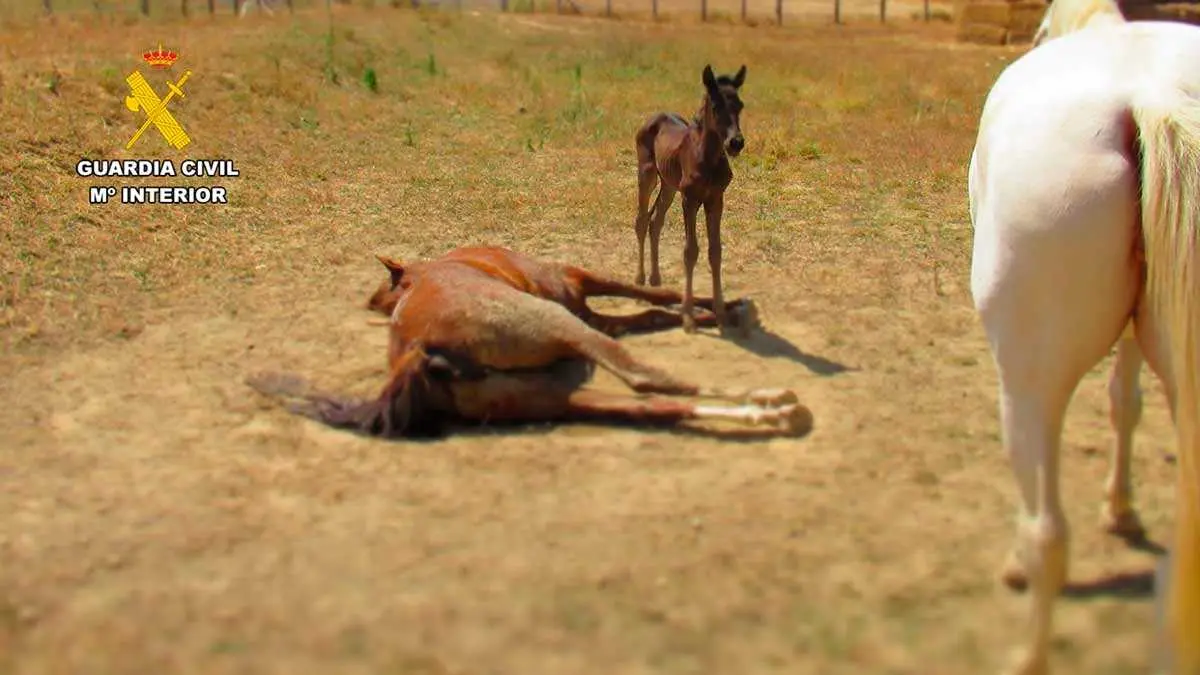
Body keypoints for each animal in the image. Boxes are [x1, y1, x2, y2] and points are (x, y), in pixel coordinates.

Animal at [248, 250, 808, 439]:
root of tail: (416, 349)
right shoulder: (577, 283)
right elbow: (656, 295)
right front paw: (732, 309)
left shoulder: (592, 314)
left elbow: (651, 311)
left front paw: (719, 311)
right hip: (557, 326)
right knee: (647, 379)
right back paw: (775, 399)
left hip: (541, 393)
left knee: (649, 405)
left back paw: (773, 414)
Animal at [633, 64, 747, 336]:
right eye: (715, 105)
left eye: (740, 105)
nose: (736, 143)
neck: (707, 157)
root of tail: (654, 117)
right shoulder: (690, 199)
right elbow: (690, 251)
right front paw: (688, 319)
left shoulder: (716, 199)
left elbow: (715, 251)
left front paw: (721, 316)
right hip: (647, 174)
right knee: (641, 220)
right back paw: (640, 281)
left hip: (669, 185)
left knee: (655, 221)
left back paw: (655, 280)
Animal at [968, 0, 1200, 670]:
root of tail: (1152, 97)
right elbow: (1126, 402)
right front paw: (1121, 510)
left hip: (1028, 386)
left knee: (1047, 533)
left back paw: (1028, 654)